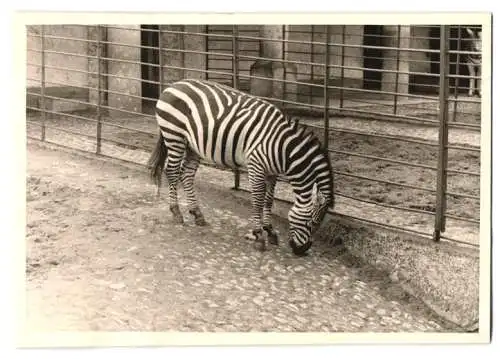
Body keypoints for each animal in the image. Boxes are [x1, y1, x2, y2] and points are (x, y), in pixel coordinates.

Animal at [148, 80, 336, 258]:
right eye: (310, 223)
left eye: (317, 224)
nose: (302, 250)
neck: (282, 149)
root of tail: (172, 86)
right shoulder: (256, 167)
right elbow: (258, 201)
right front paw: (259, 236)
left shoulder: (272, 173)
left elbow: (269, 200)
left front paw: (270, 230)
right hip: (174, 137)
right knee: (172, 172)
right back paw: (176, 212)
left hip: (192, 146)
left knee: (186, 175)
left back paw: (197, 213)